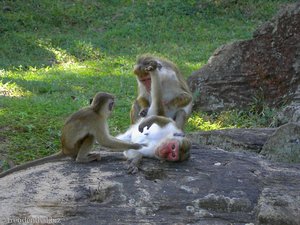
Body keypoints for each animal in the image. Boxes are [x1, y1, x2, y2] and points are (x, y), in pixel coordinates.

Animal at [0, 92, 143, 178]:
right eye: (111, 103)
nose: (113, 107)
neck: (94, 110)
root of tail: (64, 149)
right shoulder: (97, 120)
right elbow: (104, 140)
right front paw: (135, 146)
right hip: (74, 147)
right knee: (90, 136)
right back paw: (82, 159)